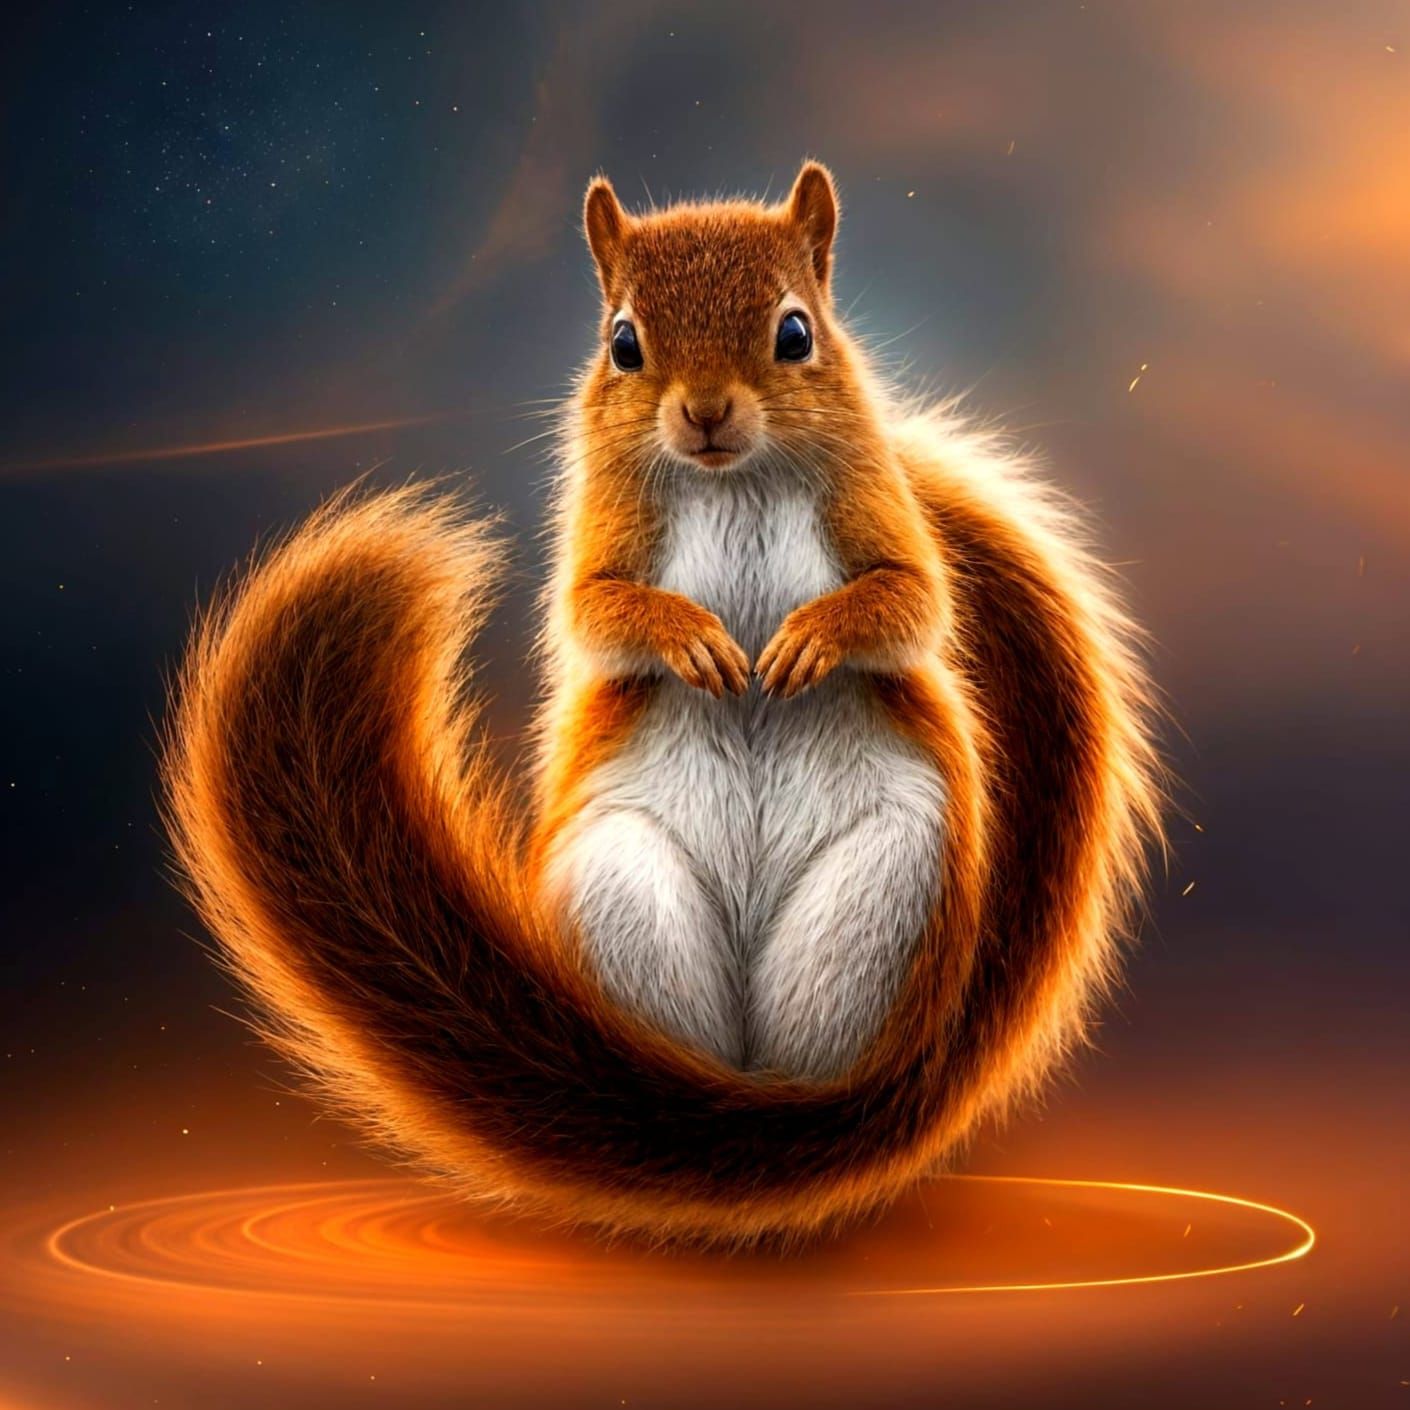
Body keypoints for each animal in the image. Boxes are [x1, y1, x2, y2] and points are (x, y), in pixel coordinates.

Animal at [163, 161, 1163, 1246]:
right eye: (624, 343)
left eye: (796, 332)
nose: (706, 413)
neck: (732, 481)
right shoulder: (606, 527)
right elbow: (595, 611)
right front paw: (688, 636)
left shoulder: (875, 506)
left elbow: (913, 597)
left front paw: (811, 636)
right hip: (625, 886)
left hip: (886, 893)